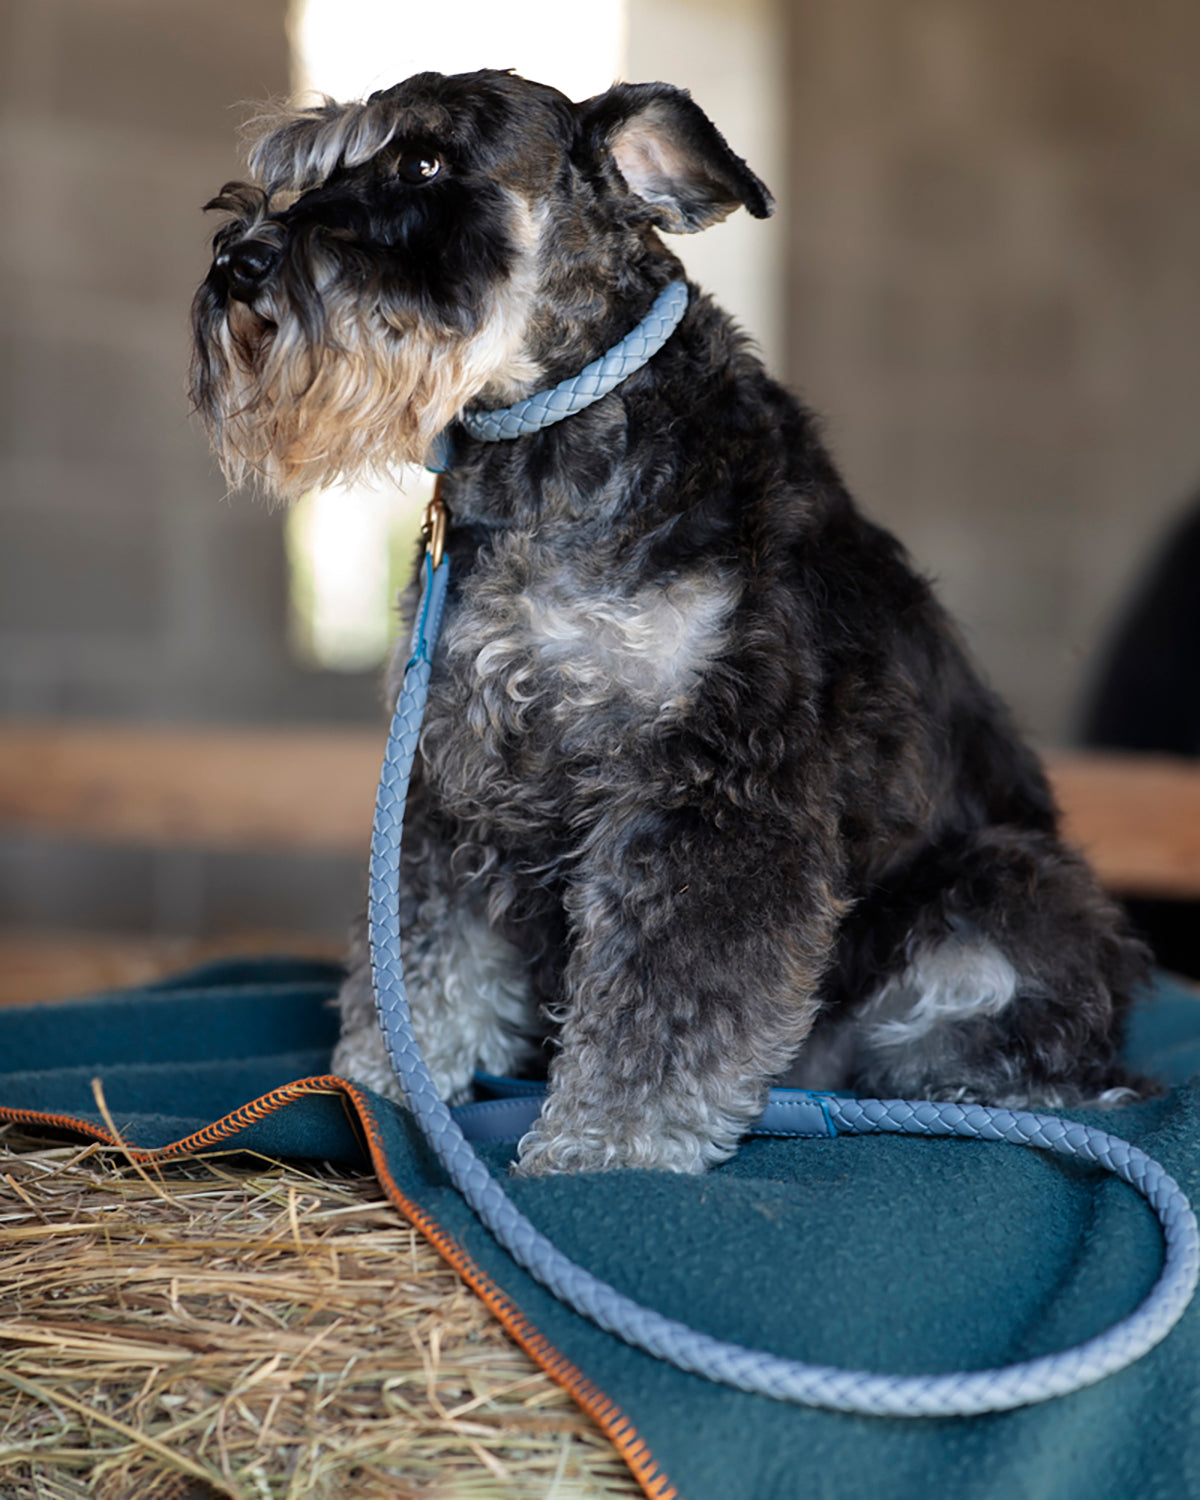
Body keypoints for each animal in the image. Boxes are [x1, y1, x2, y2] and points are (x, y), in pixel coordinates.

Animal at [189, 67, 1152, 1170]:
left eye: (424, 161)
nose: (241, 261)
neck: (551, 448)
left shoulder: (712, 792)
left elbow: (666, 999)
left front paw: (608, 1147)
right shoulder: (454, 777)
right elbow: (430, 959)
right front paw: (384, 1086)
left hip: (1004, 882)